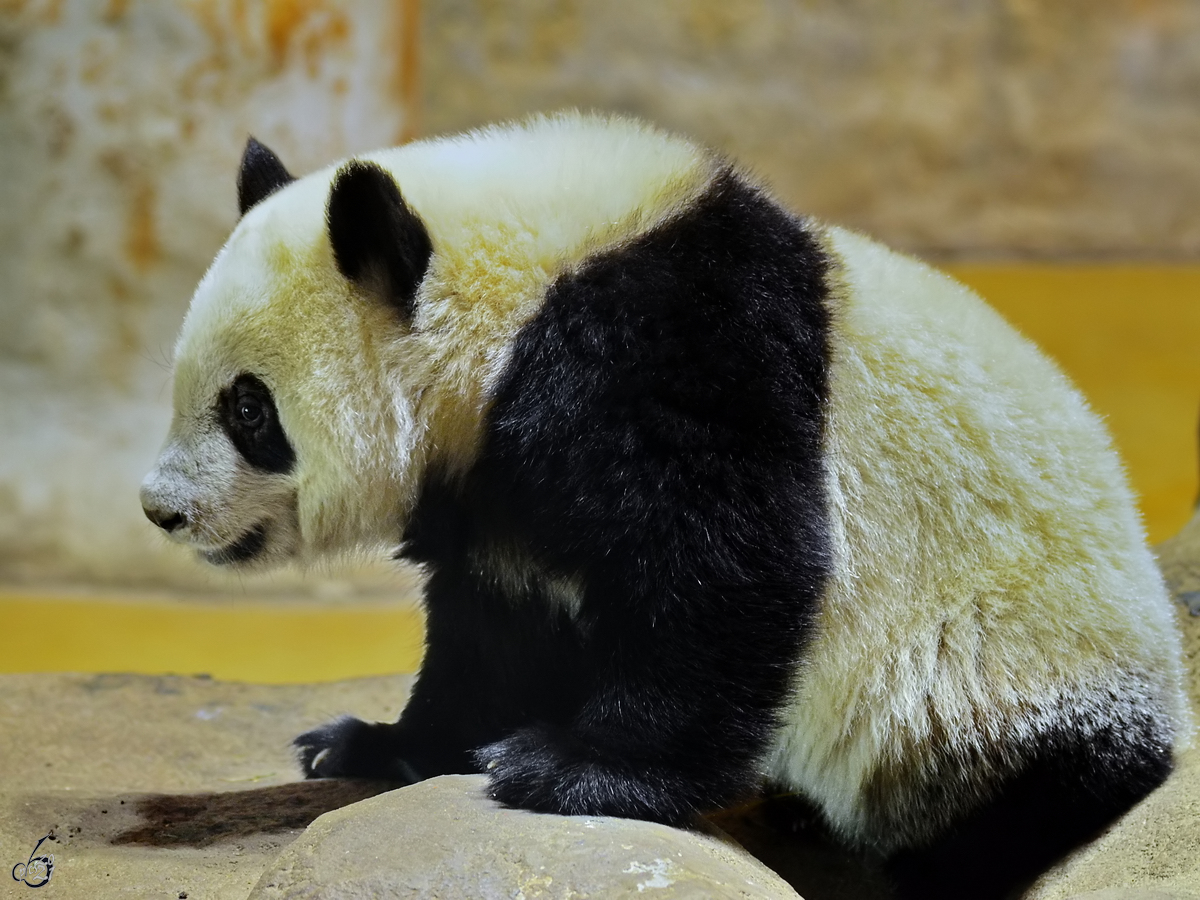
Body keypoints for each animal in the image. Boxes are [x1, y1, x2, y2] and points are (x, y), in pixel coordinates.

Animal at [140, 114, 1190, 900]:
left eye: (248, 409)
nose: (161, 511)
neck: (514, 295)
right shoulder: (494, 482)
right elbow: (495, 628)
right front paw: (376, 745)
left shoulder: (674, 345)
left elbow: (723, 562)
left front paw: (571, 772)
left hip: (998, 672)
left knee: (1008, 785)